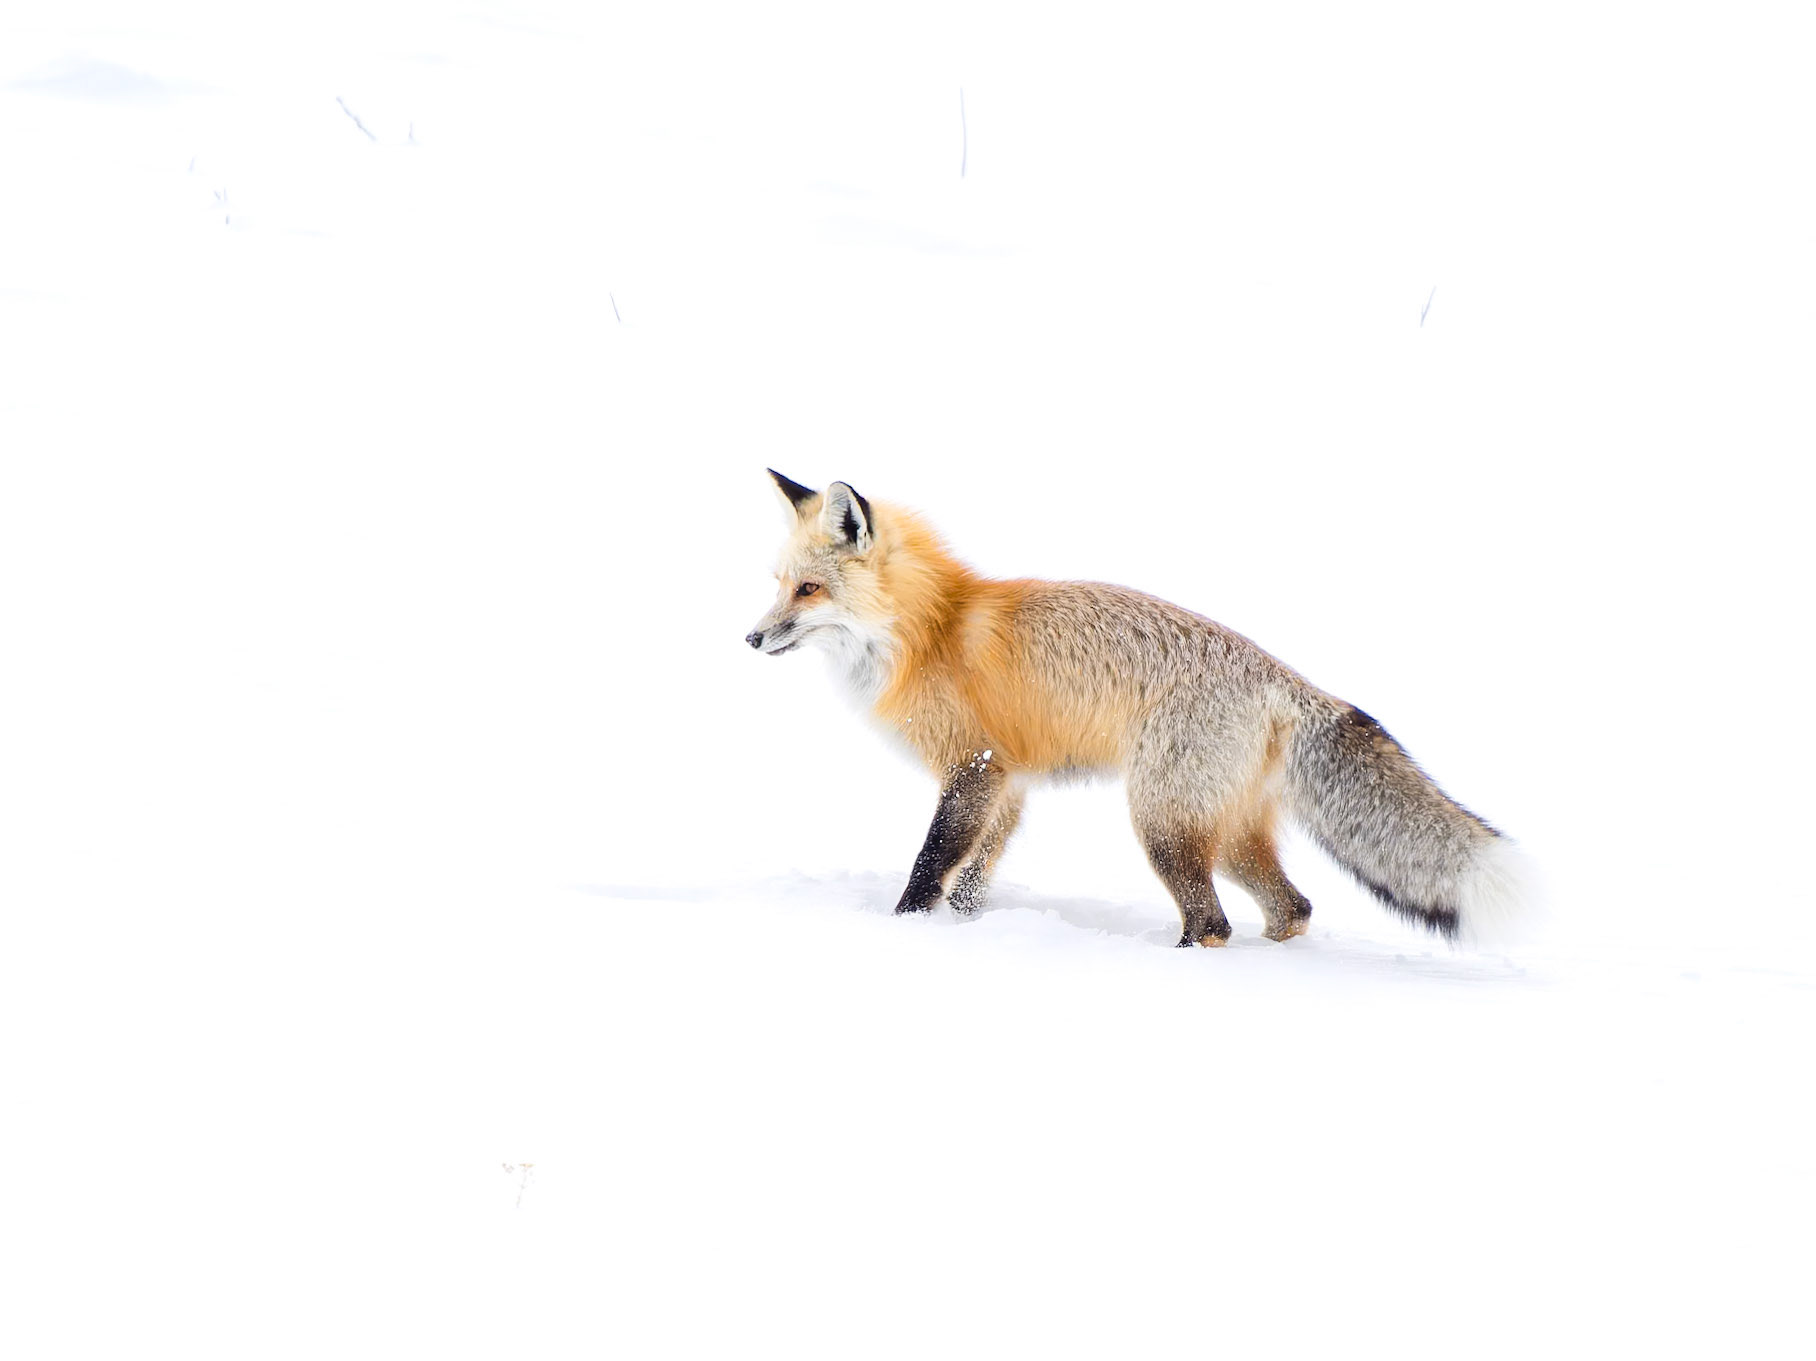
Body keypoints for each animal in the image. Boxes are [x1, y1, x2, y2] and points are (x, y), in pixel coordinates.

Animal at [746, 470, 1532, 947]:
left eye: (809, 590)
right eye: (779, 584)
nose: (750, 638)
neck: (931, 630)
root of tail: (1287, 680)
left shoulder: (974, 767)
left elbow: (931, 860)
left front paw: (904, 927)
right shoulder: (1008, 783)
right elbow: (971, 878)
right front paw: (964, 927)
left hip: (1161, 821)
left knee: (1213, 923)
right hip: (1225, 831)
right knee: (1292, 908)